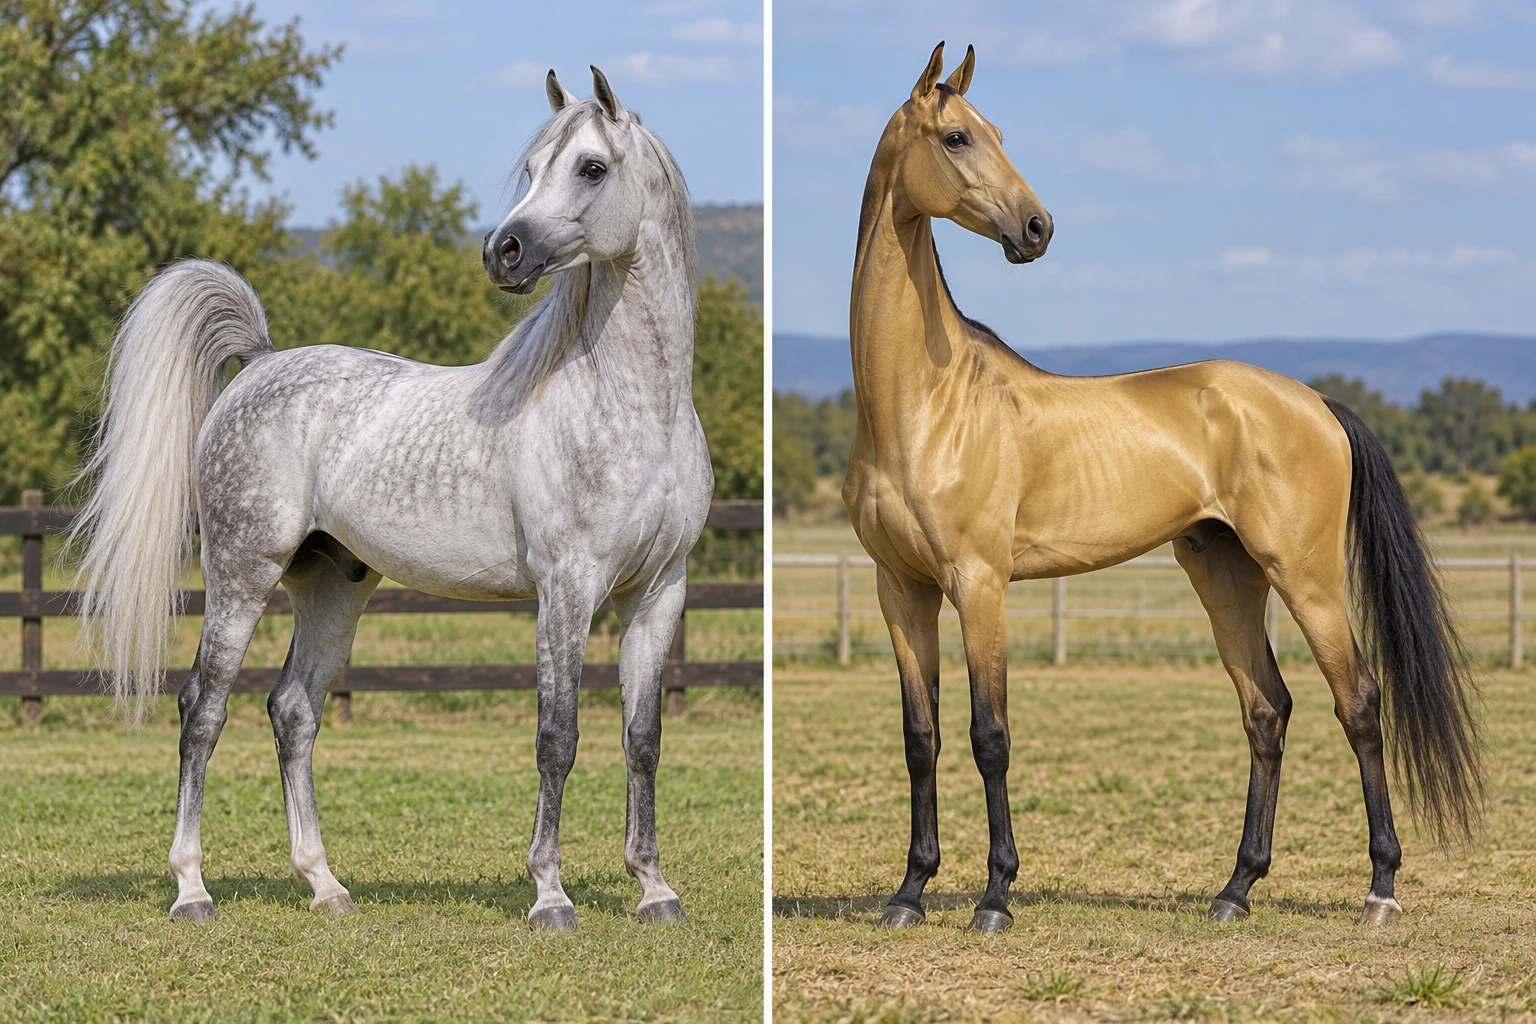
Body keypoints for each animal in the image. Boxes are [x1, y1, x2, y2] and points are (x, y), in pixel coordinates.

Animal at [70, 67, 713, 932]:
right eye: (533, 165)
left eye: (590, 168)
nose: (503, 251)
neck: (634, 406)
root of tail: (260, 366)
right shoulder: (567, 590)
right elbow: (558, 737)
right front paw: (550, 896)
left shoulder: (657, 591)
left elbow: (642, 739)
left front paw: (654, 889)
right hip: (241, 574)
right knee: (202, 709)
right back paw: (192, 889)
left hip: (332, 585)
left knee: (293, 711)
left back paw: (325, 885)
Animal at [843, 42, 1481, 934]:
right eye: (959, 136)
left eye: (996, 131)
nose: (1037, 228)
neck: (924, 403)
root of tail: (1316, 402)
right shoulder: (901, 589)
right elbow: (921, 738)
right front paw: (909, 892)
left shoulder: (981, 584)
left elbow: (989, 735)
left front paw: (995, 897)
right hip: (1225, 572)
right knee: (1267, 711)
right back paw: (1236, 889)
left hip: (1307, 575)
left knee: (1358, 701)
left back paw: (1381, 889)